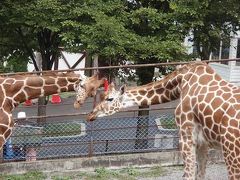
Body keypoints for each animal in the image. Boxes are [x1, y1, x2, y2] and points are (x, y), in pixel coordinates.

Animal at [84, 61, 240, 179]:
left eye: (109, 99)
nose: (90, 115)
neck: (181, 83)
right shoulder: (204, 143)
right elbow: (200, 174)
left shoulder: (186, 136)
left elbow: (188, 175)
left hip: (231, 151)